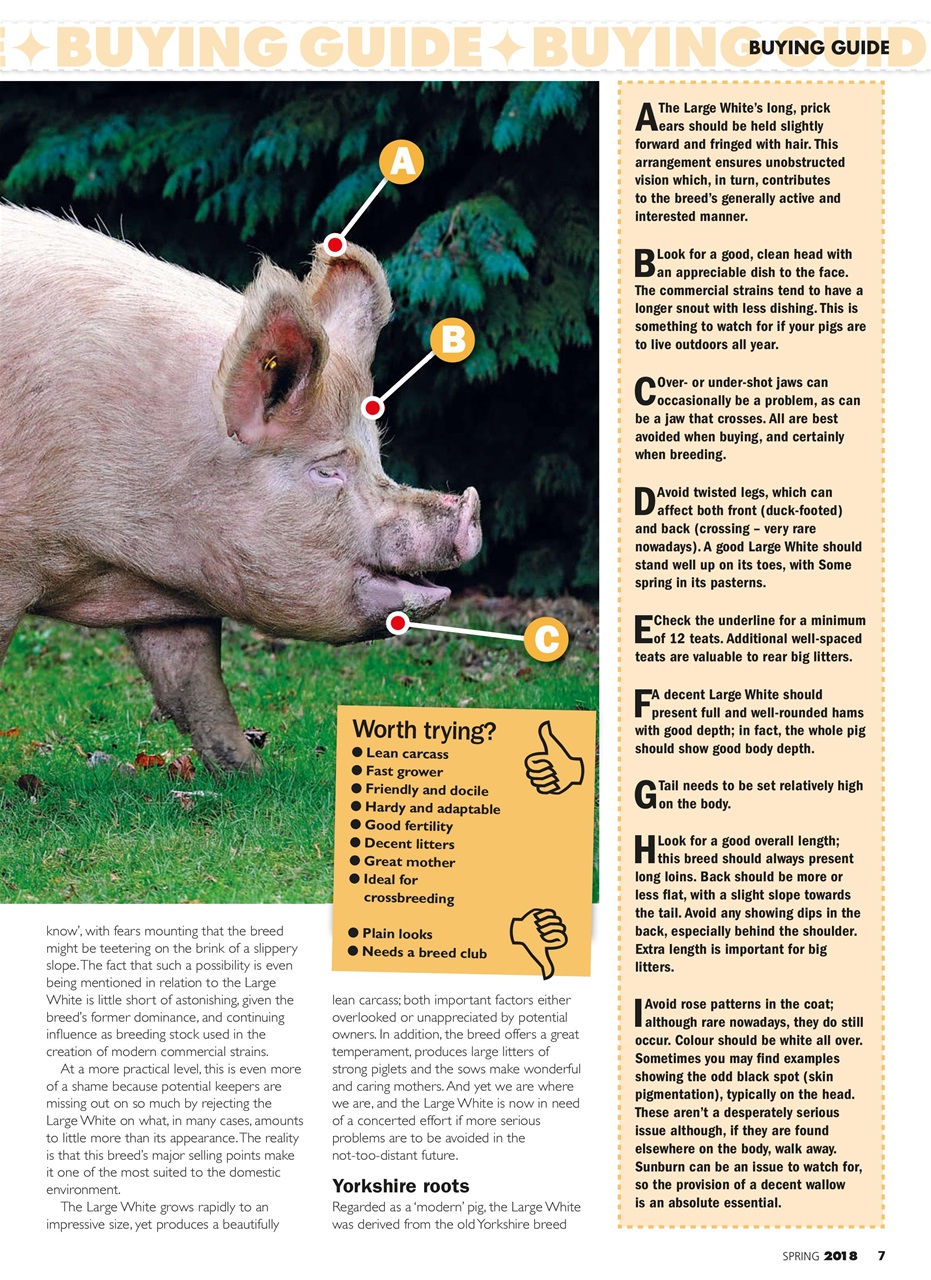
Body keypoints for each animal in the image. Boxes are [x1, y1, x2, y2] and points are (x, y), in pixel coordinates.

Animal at [0, 207, 481, 772]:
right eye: (327, 470)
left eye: (376, 453)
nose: (469, 512)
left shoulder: (174, 592)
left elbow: (194, 686)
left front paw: (250, 775)